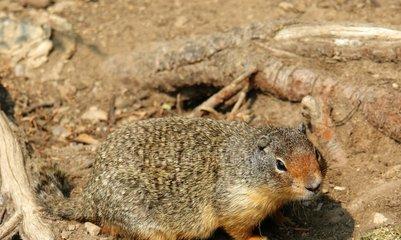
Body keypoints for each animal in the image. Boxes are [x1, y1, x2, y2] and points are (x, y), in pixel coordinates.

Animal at [36, 116, 324, 240]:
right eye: (280, 165)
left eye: (316, 152)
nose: (315, 185)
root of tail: (90, 194)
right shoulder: (236, 203)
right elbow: (238, 230)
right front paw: (258, 238)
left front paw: (286, 220)